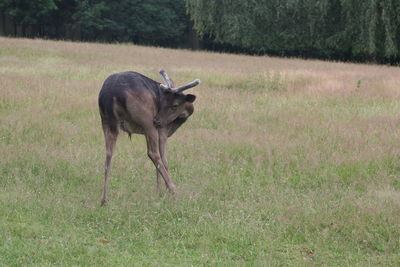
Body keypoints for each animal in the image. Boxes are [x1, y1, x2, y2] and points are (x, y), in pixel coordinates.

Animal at [97, 70, 200, 206]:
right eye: (164, 103)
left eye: (174, 105)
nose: (157, 120)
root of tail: (111, 94)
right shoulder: (162, 130)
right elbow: (164, 160)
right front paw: (163, 191)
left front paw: (159, 191)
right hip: (147, 121)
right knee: (153, 153)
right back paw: (174, 190)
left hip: (106, 121)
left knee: (108, 155)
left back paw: (104, 199)